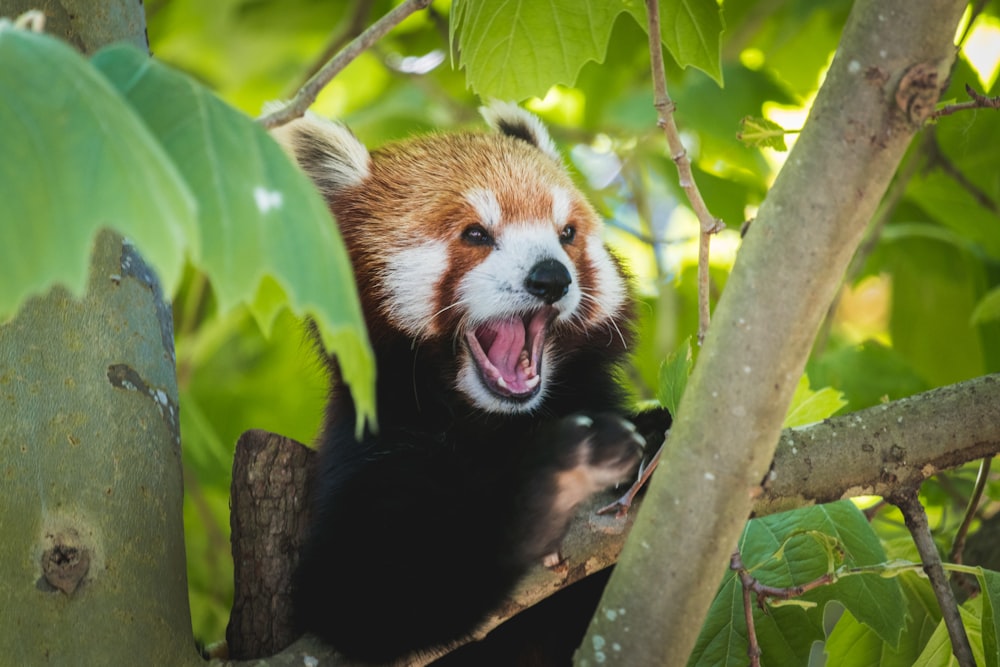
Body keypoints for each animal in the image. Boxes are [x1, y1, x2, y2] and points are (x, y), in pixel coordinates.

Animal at [272, 102, 672, 664]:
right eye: (477, 234)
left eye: (566, 234)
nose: (551, 278)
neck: (496, 422)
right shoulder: (371, 446)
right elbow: (372, 594)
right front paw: (560, 473)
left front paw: (656, 431)